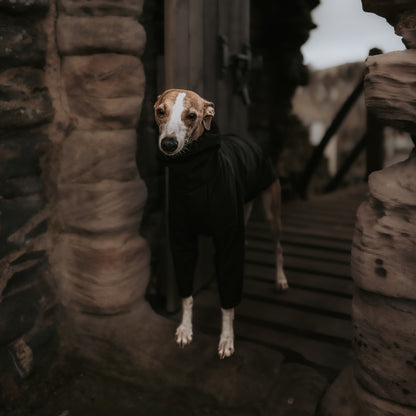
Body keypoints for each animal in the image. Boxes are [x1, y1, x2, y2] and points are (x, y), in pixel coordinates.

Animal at [154, 88, 288, 358]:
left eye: (191, 116)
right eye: (160, 111)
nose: (169, 144)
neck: (194, 178)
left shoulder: (228, 239)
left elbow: (227, 305)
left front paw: (226, 339)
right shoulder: (182, 242)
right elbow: (187, 294)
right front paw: (185, 329)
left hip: (271, 211)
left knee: (278, 246)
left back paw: (280, 280)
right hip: (243, 212)